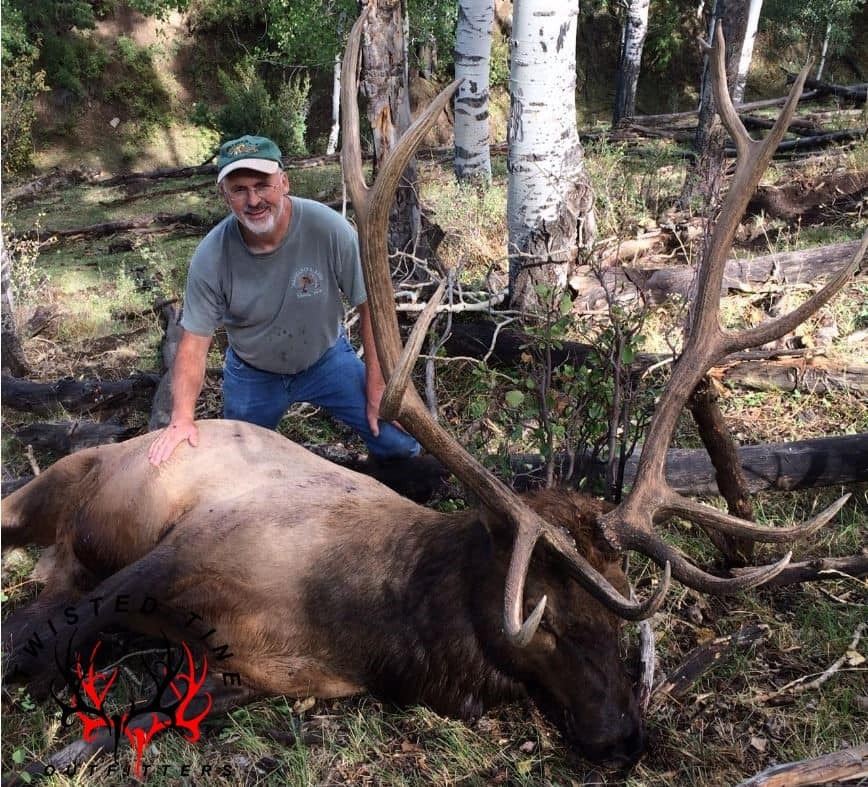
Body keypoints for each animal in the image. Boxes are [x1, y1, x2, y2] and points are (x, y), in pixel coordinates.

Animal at [2, 14, 864, 778]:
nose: (626, 735)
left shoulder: (256, 673)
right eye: (549, 622)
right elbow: (30, 638)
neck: (357, 625)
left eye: (620, 611)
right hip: (57, 483)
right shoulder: (170, 556)